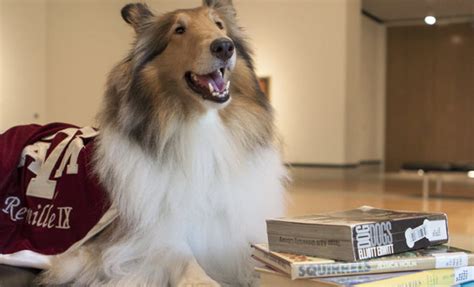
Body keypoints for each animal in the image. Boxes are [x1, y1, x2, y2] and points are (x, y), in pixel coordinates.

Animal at [39, 0, 286, 286]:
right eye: (179, 30)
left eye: (219, 24)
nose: (224, 46)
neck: (201, 127)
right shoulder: (132, 239)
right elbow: (178, 254)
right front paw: (204, 280)